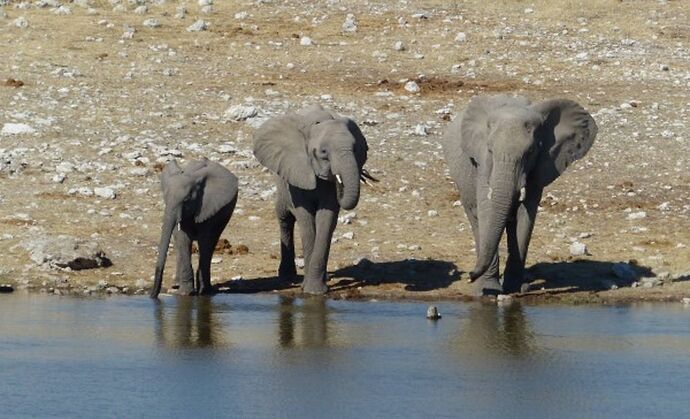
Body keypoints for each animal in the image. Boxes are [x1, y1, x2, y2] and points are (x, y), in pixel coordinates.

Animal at [150, 158, 236, 298]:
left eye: (186, 200)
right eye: (165, 198)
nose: (153, 296)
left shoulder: (209, 206)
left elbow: (205, 240)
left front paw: (202, 292)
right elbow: (183, 238)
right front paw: (185, 293)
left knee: (211, 243)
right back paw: (176, 285)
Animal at [251, 105, 370, 296]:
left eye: (355, 148)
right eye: (323, 152)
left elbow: (327, 217)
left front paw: (316, 291)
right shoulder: (298, 170)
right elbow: (305, 218)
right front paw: (310, 291)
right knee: (284, 217)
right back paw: (287, 276)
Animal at [440, 95, 596, 296]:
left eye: (530, 152)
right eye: (490, 150)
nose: (469, 275)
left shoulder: (539, 167)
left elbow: (525, 215)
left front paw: (516, 289)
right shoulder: (482, 165)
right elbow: (487, 210)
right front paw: (489, 290)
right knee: (475, 220)